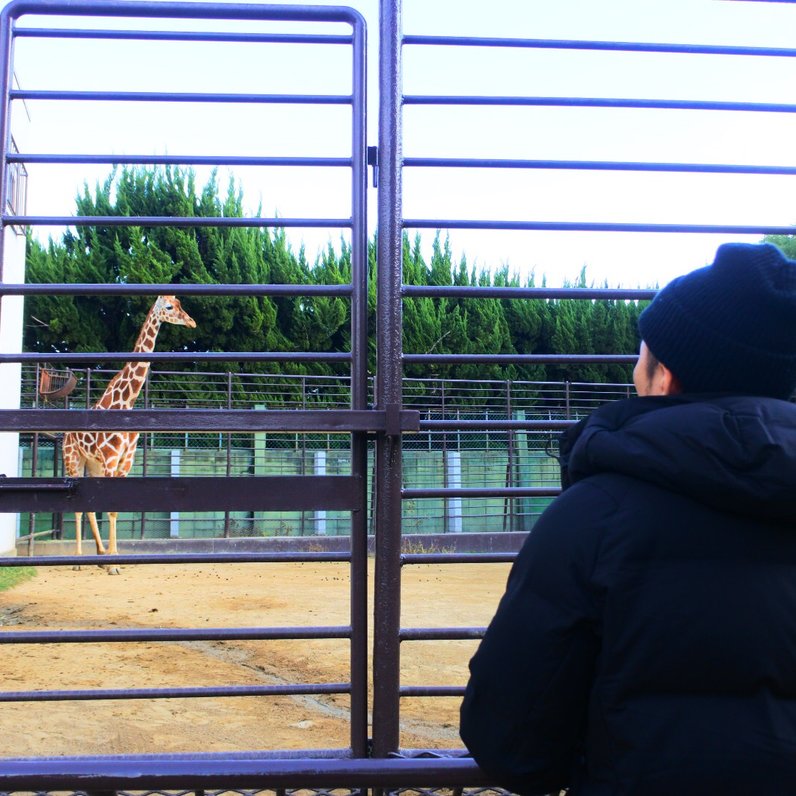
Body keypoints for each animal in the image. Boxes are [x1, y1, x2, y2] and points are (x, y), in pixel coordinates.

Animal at [62, 296, 197, 576]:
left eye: (179, 303)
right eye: (169, 307)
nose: (192, 321)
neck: (126, 403)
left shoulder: (125, 460)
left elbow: (114, 508)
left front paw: (114, 559)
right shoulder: (111, 458)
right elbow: (110, 509)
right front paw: (113, 564)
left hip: (92, 464)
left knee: (90, 507)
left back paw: (100, 556)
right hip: (73, 460)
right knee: (79, 507)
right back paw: (79, 560)